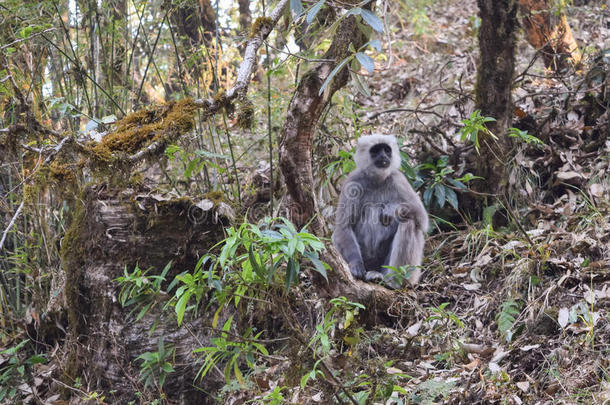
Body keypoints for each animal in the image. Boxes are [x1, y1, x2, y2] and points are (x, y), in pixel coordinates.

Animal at [330, 134, 426, 286]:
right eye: (376, 150)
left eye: (386, 150)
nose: (383, 157)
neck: (377, 180)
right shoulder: (353, 180)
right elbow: (343, 227)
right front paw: (356, 264)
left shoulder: (397, 178)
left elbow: (422, 217)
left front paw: (390, 210)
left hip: (410, 273)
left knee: (409, 222)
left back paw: (392, 281)